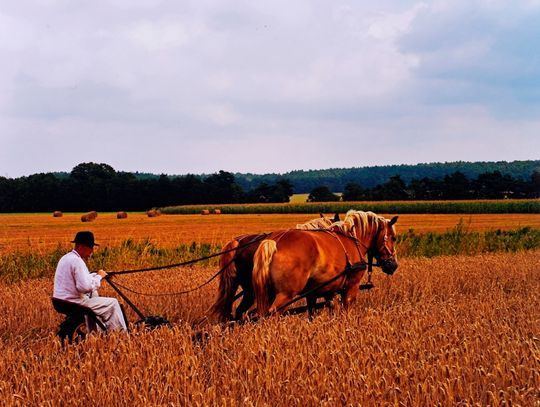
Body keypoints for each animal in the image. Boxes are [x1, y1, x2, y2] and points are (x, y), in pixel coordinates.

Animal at [251, 212, 398, 318]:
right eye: (393, 237)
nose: (394, 265)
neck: (353, 239)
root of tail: (274, 241)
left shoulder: (321, 292)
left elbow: (317, 312)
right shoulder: (351, 288)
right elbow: (345, 311)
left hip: (268, 293)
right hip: (285, 294)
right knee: (273, 314)